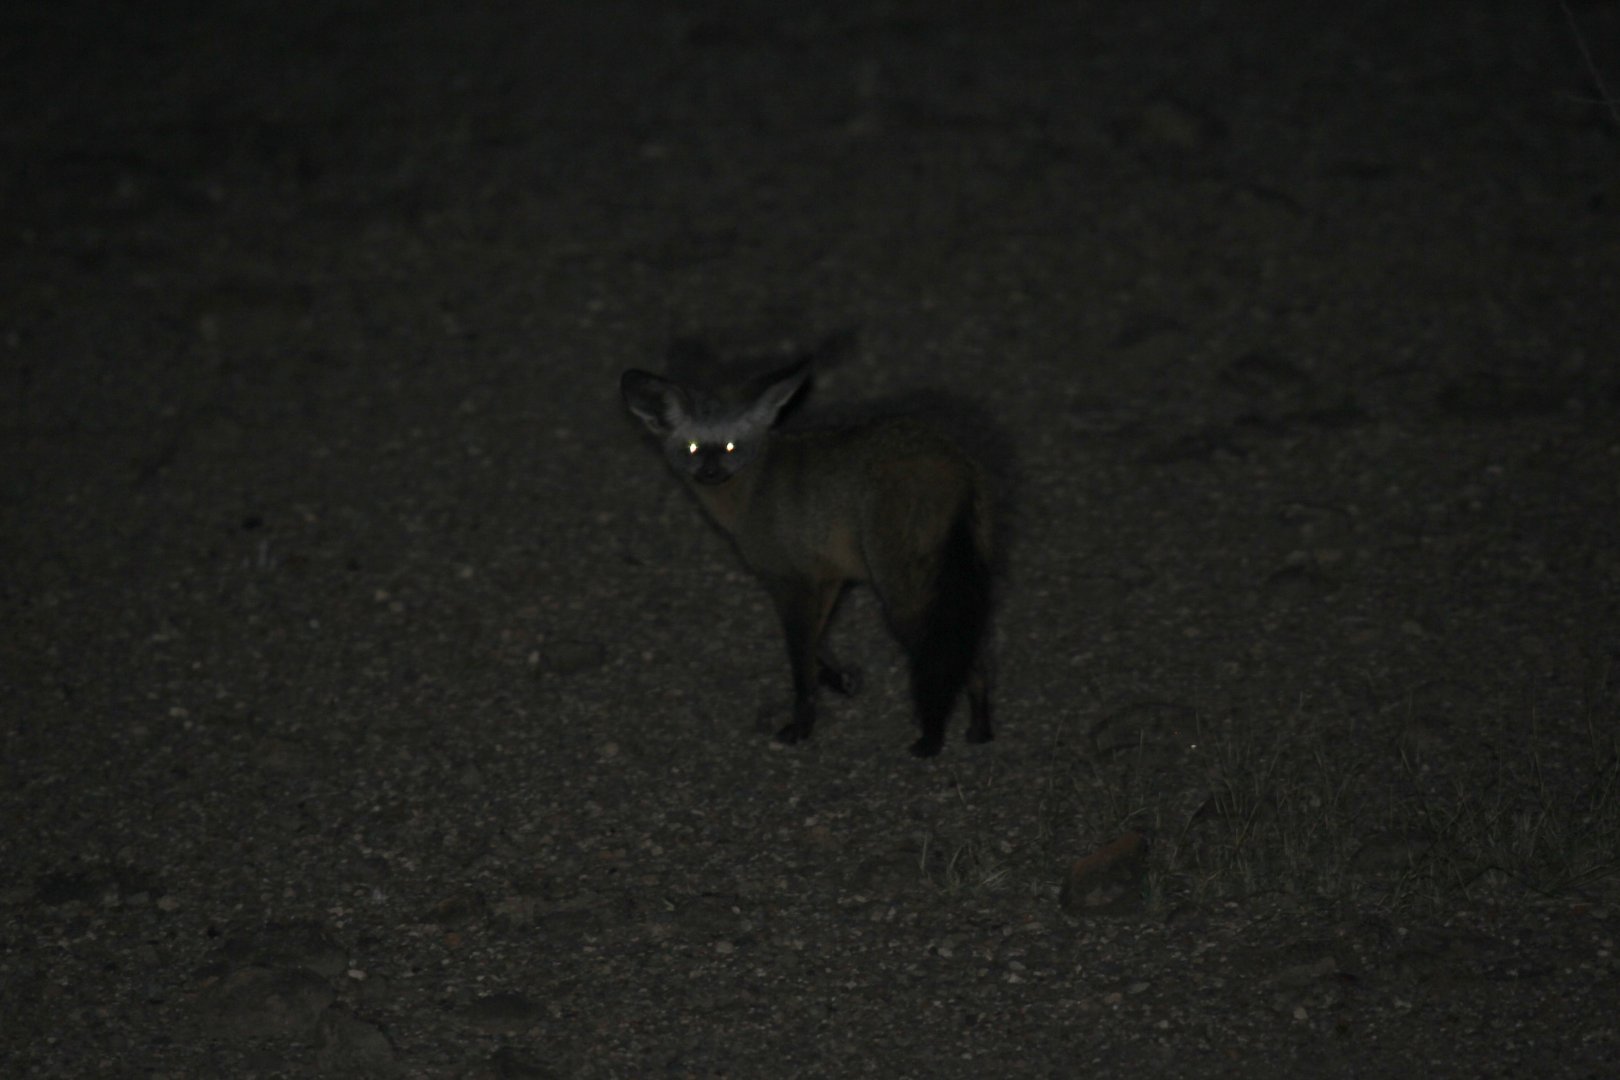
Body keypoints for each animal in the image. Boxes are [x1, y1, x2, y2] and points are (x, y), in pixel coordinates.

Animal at [620, 359, 995, 757]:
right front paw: (840, 679)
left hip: (902, 594)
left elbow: (800, 661)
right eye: (692, 448)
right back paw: (980, 727)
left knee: (942, 656)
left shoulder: (790, 583)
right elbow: (817, 642)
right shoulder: (827, 576)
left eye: (731, 447)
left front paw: (803, 724)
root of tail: (951, 464)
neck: (750, 494)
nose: (709, 472)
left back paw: (933, 737)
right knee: (972, 656)